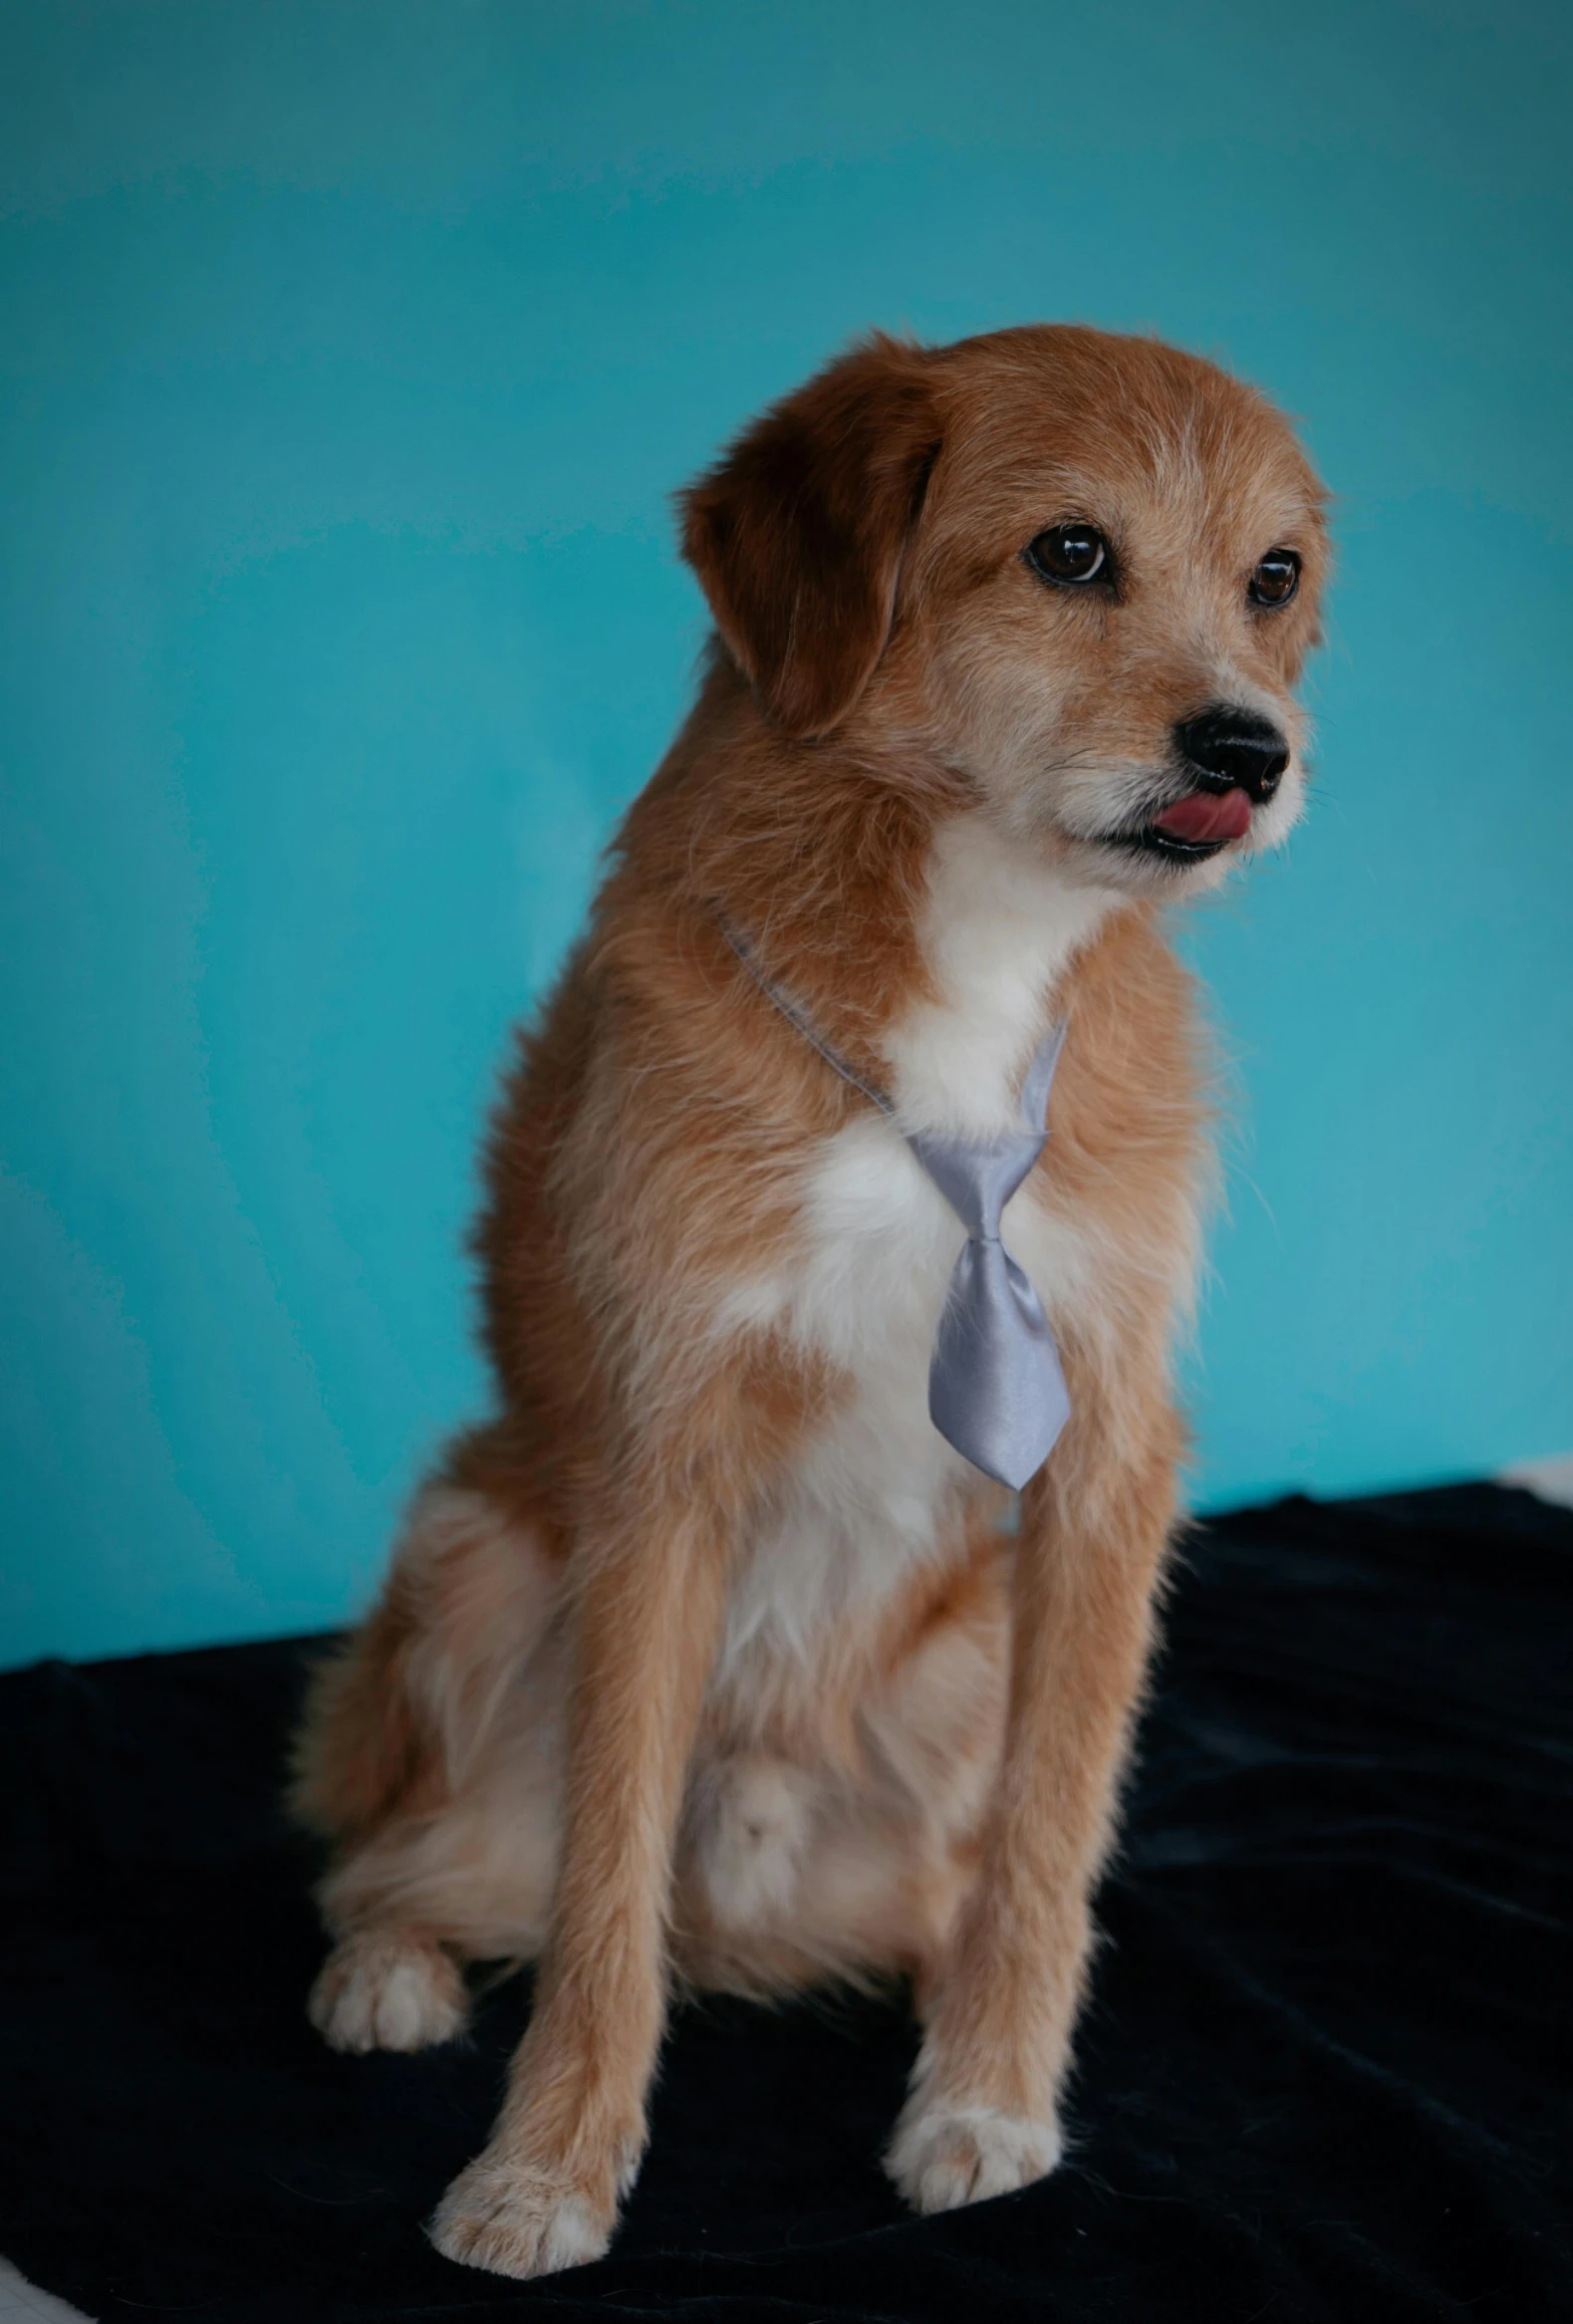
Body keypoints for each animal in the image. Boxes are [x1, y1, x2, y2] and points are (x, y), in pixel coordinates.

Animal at [291, 318, 1329, 2277]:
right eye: (1068, 552)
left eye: (1272, 577)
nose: (1249, 749)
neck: (969, 959)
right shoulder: (661, 1460)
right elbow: (604, 1877)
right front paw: (548, 2163)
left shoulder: (1105, 1457)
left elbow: (1050, 1838)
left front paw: (987, 2095)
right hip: (474, 1551)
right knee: (397, 1854)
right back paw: (391, 1966)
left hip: (960, 1659)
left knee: (958, 1873)